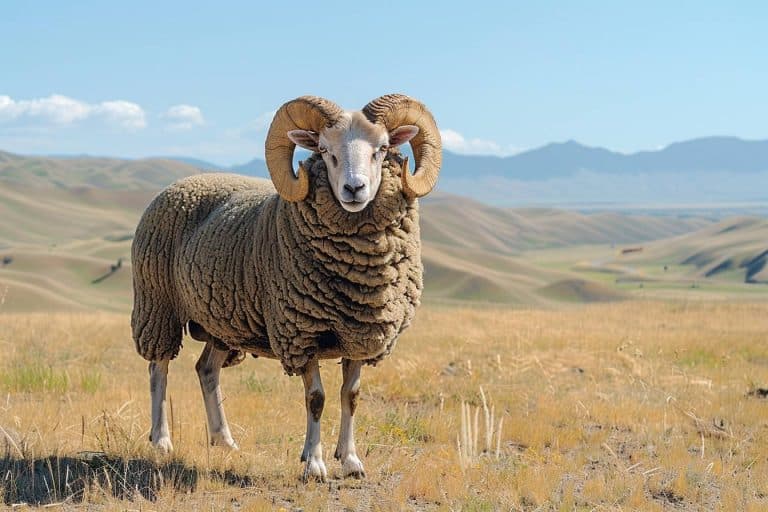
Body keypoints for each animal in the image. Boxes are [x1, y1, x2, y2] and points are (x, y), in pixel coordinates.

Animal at [131, 94, 442, 481]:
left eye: (382, 148)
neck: (359, 282)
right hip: (158, 305)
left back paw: (224, 440)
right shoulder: (300, 331)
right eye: (324, 150)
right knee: (158, 369)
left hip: (222, 321)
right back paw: (161, 440)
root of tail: (183, 182)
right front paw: (314, 465)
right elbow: (316, 399)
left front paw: (351, 461)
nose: (354, 189)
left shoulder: (361, 332)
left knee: (206, 370)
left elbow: (351, 396)